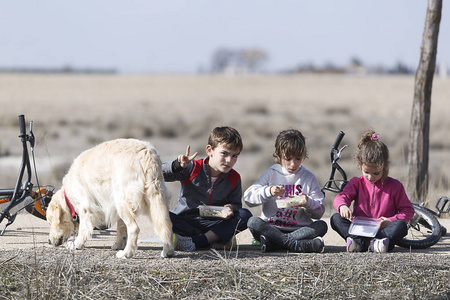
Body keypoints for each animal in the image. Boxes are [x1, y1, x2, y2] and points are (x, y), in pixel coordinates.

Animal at [46, 138, 174, 258]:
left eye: (51, 222)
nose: (49, 241)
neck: (68, 197)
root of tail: (147, 153)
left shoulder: (85, 208)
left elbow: (83, 229)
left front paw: (76, 244)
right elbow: (121, 229)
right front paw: (118, 245)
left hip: (122, 200)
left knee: (134, 228)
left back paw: (126, 254)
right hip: (157, 199)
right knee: (167, 226)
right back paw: (167, 251)